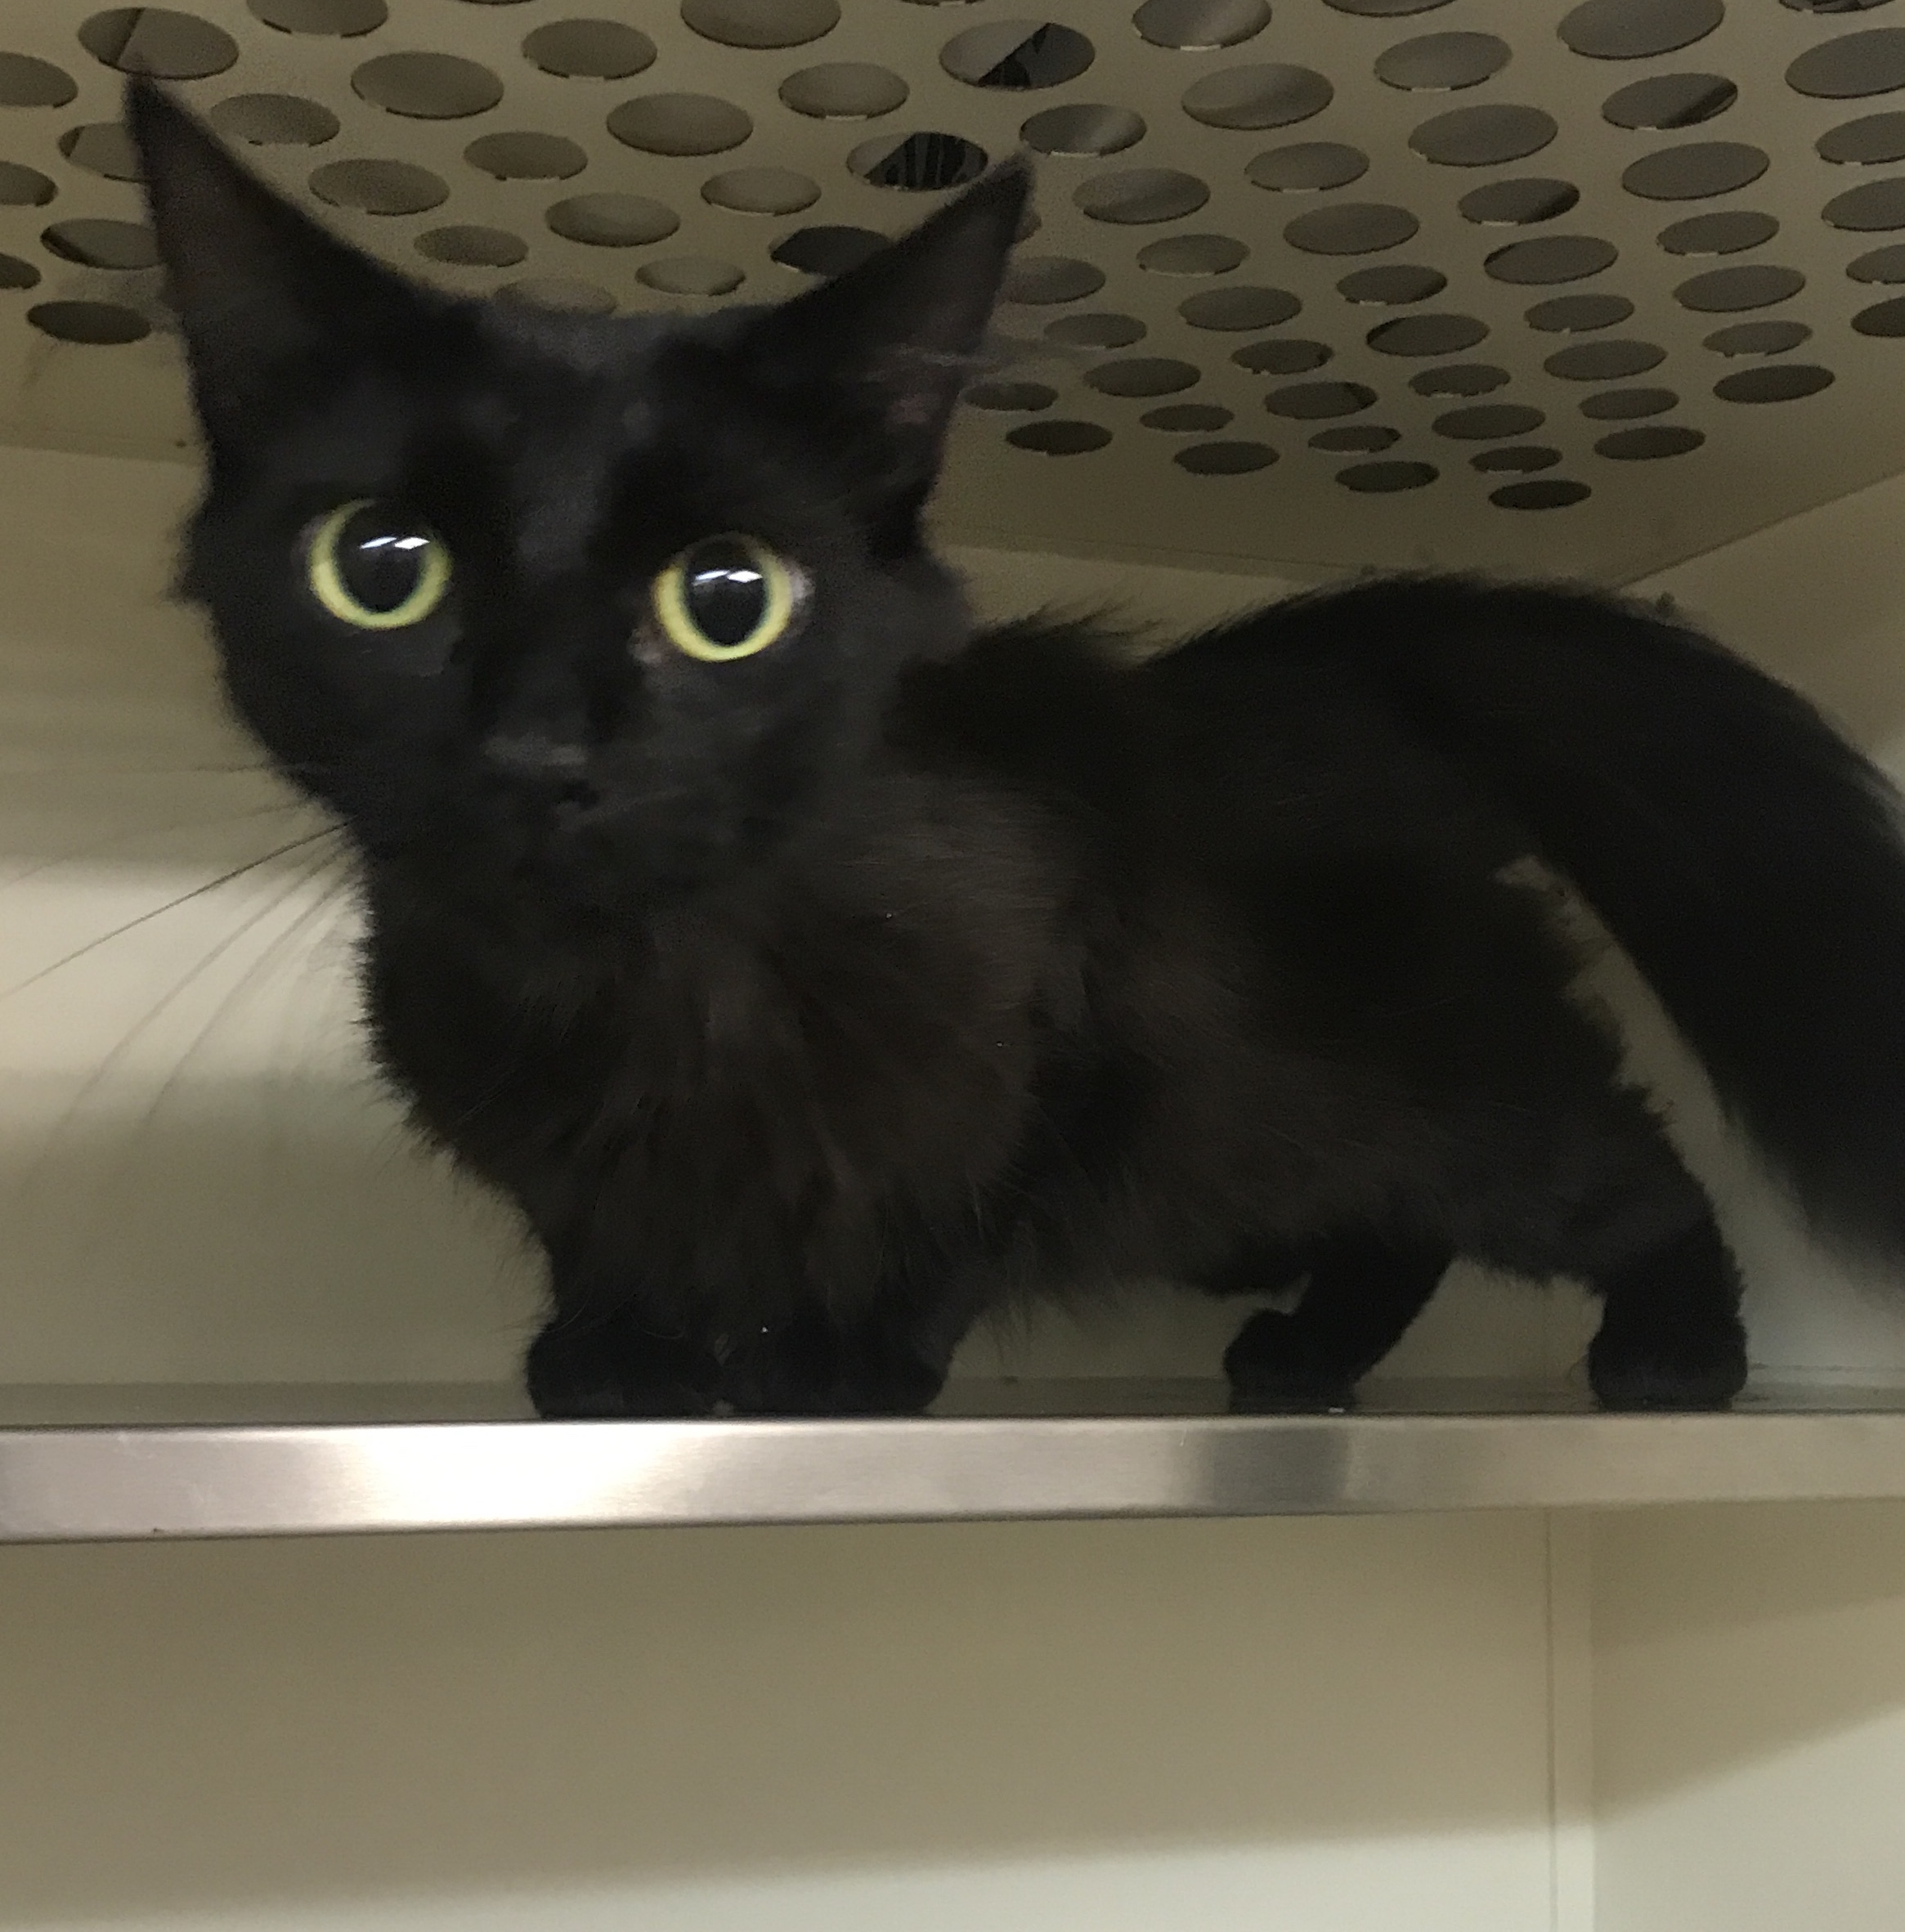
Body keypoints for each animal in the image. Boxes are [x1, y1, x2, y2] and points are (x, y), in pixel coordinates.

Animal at [129, 78, 1905, 1418]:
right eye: (380, 567)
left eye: (727, 599)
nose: (536, 746)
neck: (640, 994)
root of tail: (1332, 663)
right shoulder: (537, 1131)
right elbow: (595, 1219)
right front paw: (622, 1348)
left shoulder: (1074, 1027)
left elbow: (958, 1214)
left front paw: (834, 1361)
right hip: (1259, 1174)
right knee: (1387, 1225)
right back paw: (1307, 1354)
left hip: (1429, 1080)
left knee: (1620, 1165)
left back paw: (1676, 1345)